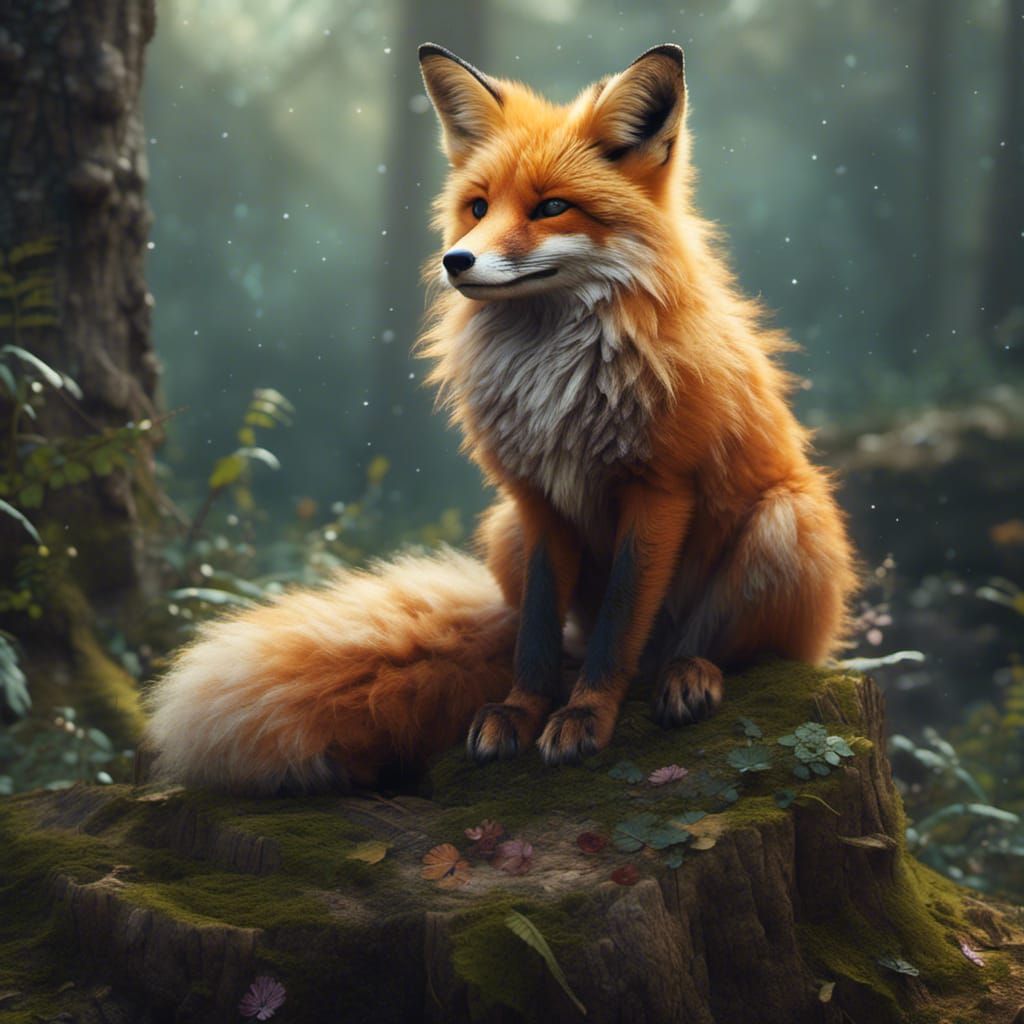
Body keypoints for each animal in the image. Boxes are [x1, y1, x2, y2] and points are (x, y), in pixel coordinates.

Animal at [145, 43, 857, 795]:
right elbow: (536, 637)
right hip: (501, 531)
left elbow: (616, 632)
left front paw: (586, 719)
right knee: (562, 640)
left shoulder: (658, 489)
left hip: (788, 522)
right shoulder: (535, 498)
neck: (557, 381)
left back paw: (690, 673)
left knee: (734, 652)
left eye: (552, 208)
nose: (455, 261)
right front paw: (522, 713)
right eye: (478, 207)